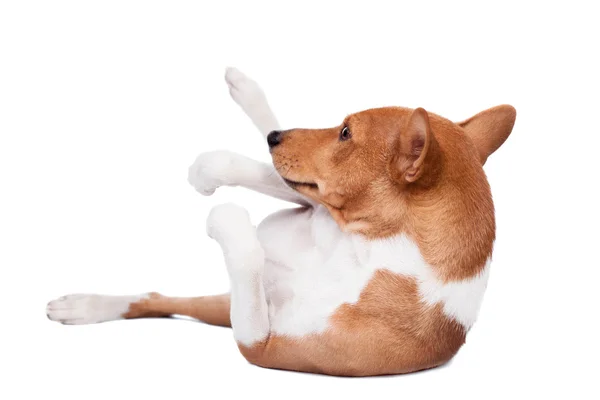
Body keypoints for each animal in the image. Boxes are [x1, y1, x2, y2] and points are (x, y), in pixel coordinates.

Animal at [47, 67, 516, 376]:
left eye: (346, 132)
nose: (276, 138)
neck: (369, 253)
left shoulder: (263, 346)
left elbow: (247, 249)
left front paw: (227, 216)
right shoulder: (314, 207)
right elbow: (272, 175)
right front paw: (212, 167)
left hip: (227, 311)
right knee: (155, 296)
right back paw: (85, 305)